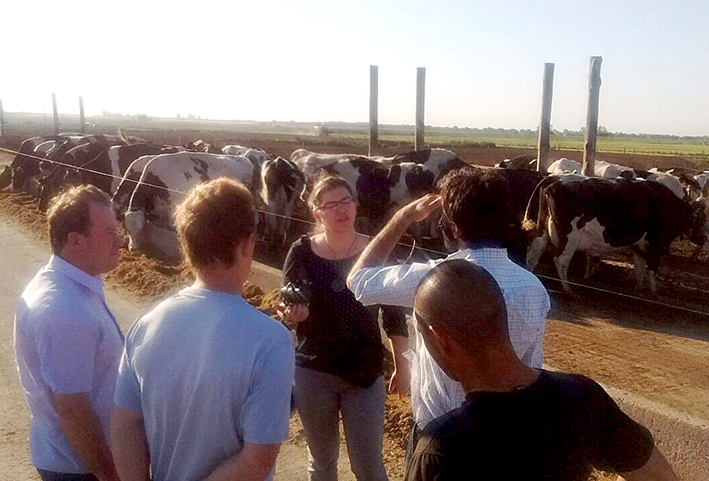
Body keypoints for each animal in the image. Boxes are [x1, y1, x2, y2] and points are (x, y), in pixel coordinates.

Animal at [524, 175, 704, 294]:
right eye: (701, 218)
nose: (701, 239)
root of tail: (555, 180)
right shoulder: (657, 244)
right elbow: (652, 269)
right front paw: (654, 293)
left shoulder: (638, 245)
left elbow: (639, 267)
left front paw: (639, 288)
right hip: (570, 238)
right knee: (561, 261)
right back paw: (568, 290)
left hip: (543, 233)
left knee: (534, 253)